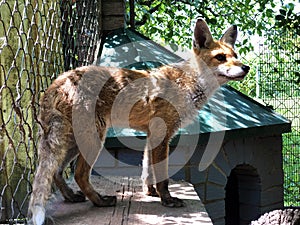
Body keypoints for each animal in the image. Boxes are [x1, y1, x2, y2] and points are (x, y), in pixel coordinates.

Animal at [28, 18, 250, 224]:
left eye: (236, 56)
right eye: (220, 57)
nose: (246, 67)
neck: (187, 83)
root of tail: (58, 82)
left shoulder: (152, 135)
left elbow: (147, 170)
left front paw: (151, 192)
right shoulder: (162, 135)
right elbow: (162, 176)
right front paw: (167, 200)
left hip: (75, 142)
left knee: (56, 173)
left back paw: (71, 197)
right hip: (93, 139)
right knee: (79, 175)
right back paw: (100, 201)